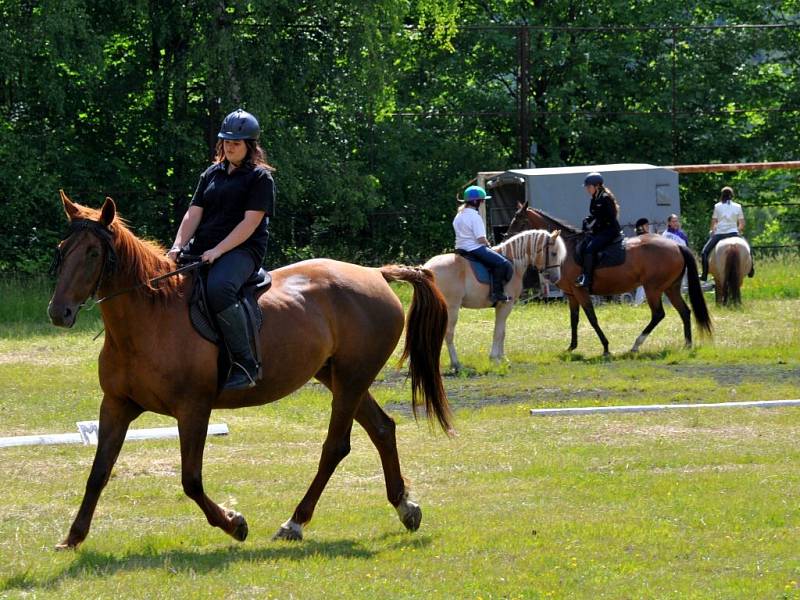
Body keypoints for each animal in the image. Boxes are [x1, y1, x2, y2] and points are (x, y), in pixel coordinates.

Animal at [47, 191, 454, 548]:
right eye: (62, 250)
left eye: (93, 252)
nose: (58, 312)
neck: (149, 318)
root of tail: (376, 274)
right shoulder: (116, 405)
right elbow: (99, 472)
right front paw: (73, 537)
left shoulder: (193, 409)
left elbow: (191, 480)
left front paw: (235, 524)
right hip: (339, 377)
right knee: (382, 429)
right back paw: (405, 508)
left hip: (352, 379)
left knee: (336, 445)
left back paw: (295, 522)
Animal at [422, 229, 564, 370]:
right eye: (554, 253)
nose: (556, 278)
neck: (513, 262)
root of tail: (427, 268)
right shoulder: (506, 305)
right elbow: (498, 332)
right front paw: (495, 358)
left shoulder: (503, 307)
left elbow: (503, 331)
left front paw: (503, 358)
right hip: (452, 308)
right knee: (449, 333)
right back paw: (456, 363)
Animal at [506, 204, 712, 356]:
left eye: (519, 220)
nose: (506, 238)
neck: (565, 250)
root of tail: (677, 246)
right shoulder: (571, 294)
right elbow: (574, 319)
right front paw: (571, 347)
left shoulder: (580, 291)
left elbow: (592, 318)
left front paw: (605, 347)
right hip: (671, 287)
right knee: (684, 311)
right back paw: (687, 345)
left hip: (653, 288)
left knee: (658, 314)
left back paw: (636, 344)